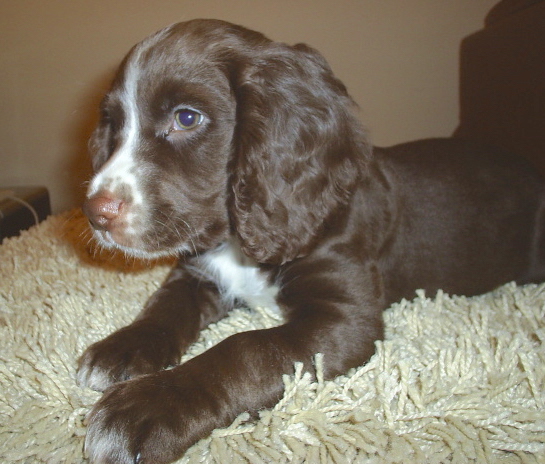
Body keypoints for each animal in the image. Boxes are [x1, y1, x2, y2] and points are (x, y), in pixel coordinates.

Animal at [77, 19, 544, 464]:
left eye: (187, 118)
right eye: (114, 124)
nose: (95, 212)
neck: (236, 240)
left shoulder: (343, 318)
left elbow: (246, 348)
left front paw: (145, 407)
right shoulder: (197, 274)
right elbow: (165, 307)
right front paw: (121, 350)